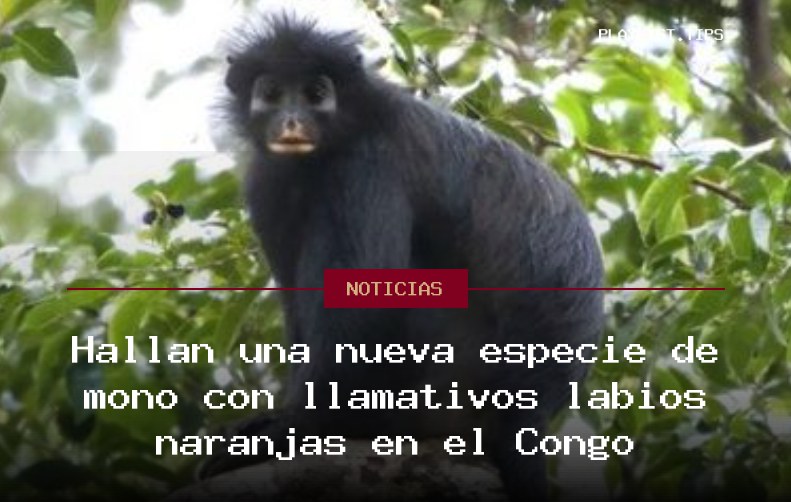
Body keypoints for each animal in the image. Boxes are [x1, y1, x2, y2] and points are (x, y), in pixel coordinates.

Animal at [201, 15, 604, 501]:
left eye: (316, 93)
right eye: (273, 93)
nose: (292, 119)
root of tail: (529, 408)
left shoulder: (366, 162)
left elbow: (363, 310)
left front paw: (290, 430)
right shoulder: (268, 182)